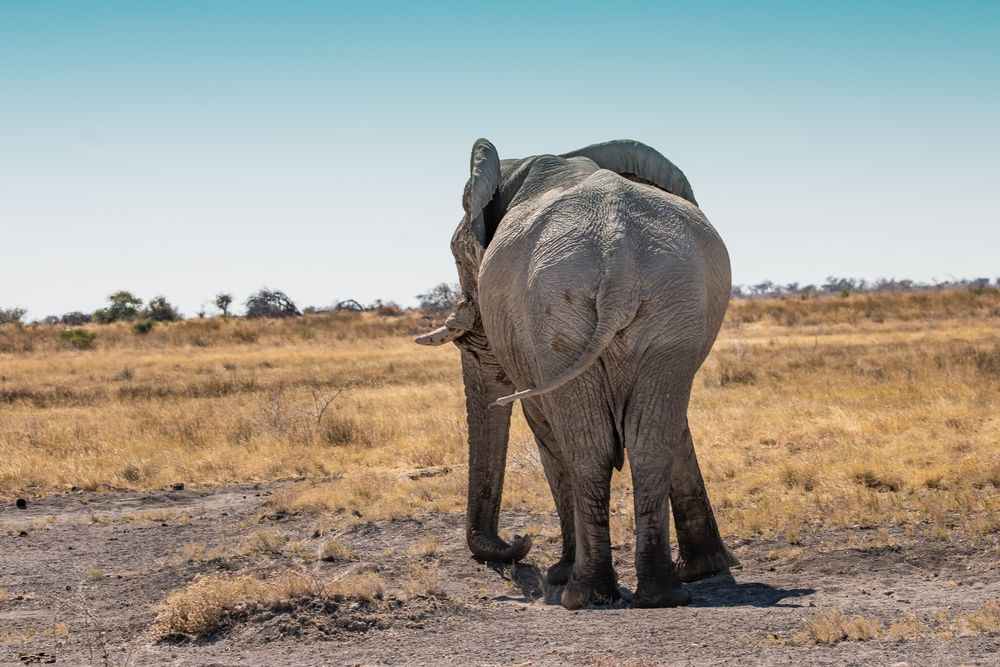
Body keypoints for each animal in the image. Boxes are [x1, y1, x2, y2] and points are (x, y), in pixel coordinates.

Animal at [418, 138, 740, 608]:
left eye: (460, 259)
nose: (520, 542)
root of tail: (618, 254)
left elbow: (548, 436)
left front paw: (557, 572)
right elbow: (675, 429)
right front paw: (706, 570)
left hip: (555, 311)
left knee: (586, 448)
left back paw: (583, 592)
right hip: (673, 302)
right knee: (648, 443)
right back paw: (661, 594)